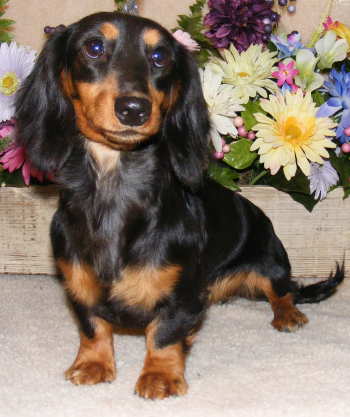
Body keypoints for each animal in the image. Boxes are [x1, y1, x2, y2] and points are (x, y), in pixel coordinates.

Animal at [15, 11, 344, 398]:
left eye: (160, 57)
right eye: (93, 47)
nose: (134, 109)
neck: (116, 186)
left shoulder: (181, 293)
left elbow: (165, 333)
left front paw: (160, 375)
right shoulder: (77, 281)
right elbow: (92, 325)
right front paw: (92, 364)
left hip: (271, 259)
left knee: (281, 291)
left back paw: (288, 314)